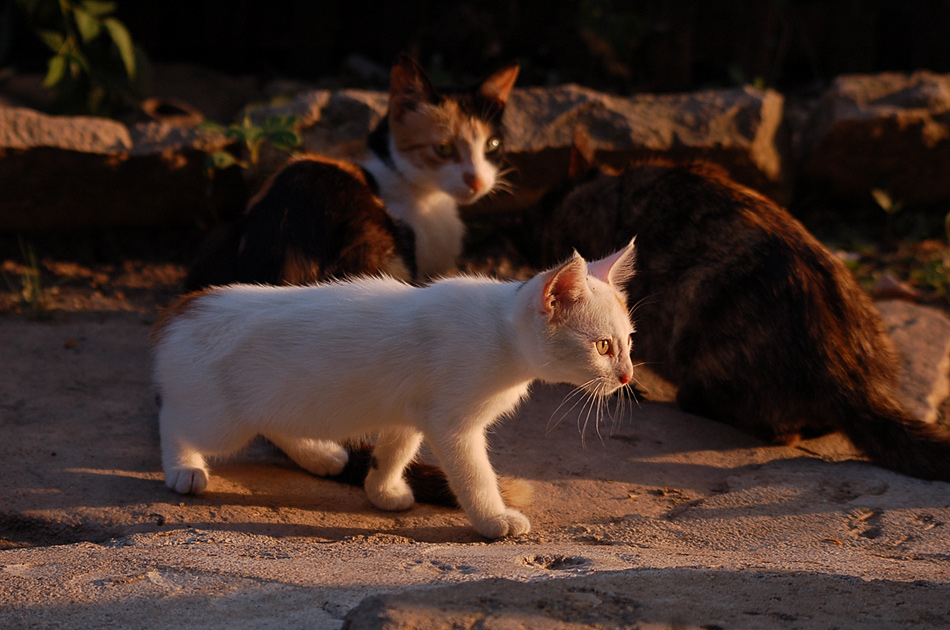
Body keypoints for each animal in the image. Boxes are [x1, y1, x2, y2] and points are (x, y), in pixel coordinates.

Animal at [151, 241, 640, 540]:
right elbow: (475, 475)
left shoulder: (412, 411)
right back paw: (185, 468)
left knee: (272, 422)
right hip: (218, 421)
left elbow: (395, 450)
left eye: (629, 342)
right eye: (603, 346)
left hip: (276, 400)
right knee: (172, 418)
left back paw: (320, 454)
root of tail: (184, 305)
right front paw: (494, 518)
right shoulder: (452, 425)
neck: (500, 334)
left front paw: (382, 489)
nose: (627, 377)